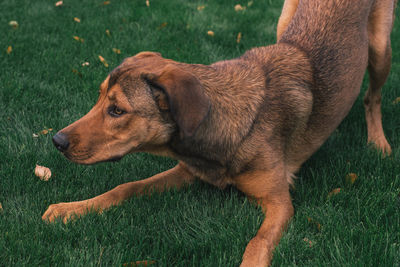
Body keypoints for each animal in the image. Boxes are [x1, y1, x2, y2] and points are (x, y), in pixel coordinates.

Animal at [42, 0, 396, 266]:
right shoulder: (189, 170)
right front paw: (71, 209)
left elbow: (258, 242)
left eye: (117, 110)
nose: (57, 141)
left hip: (380, 50)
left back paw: (378, 142)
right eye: (100, 97)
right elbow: (126, 187)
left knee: (373, 97)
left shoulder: (280, 202)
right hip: (285, 21)